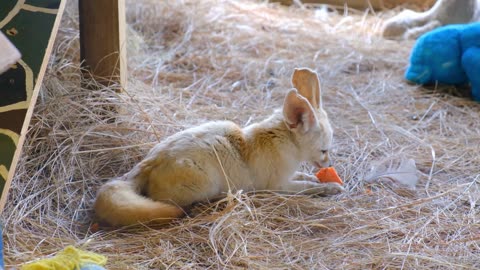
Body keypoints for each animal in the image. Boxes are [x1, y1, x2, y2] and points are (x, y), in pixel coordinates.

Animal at [94, 67, 342, 226]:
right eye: (324, 150)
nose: (329, 163)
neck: (282, 139)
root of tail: (147, 163)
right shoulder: (277, 186)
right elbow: (306, 188)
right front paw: (329, 188)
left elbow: (304, 177)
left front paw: (317, 178)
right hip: (204, 184)